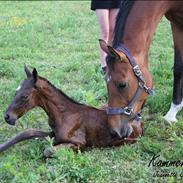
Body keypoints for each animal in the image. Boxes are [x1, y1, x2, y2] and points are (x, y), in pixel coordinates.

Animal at [1, 66, 144, 154]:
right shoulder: (53, 133)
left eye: (25, 96)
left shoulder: (79, 143)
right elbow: (28, 133)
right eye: (16, 92)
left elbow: (48, 150)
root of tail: (138, 118)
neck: (63, 115)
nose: (7, 117)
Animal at [99, 0, 183, 139]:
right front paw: (172, 113)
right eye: (106, 80)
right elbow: (178, 67)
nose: (114, 132)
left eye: (122, 85)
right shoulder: (176, 22)